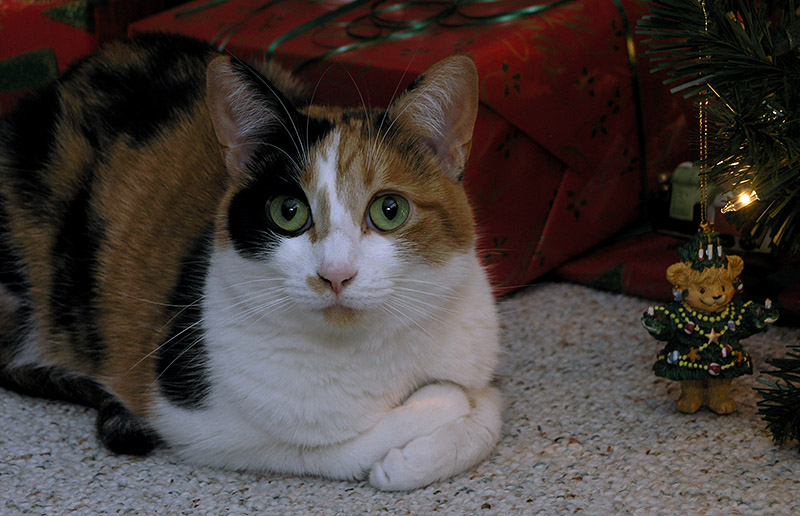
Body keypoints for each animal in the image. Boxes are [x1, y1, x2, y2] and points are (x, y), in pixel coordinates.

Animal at [0, 33, 500, 492]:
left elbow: (490, 410)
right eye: (288, 211)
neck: (366, 352)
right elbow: (325, 446)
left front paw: (427, 446)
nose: (335, 275)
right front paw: (428, 416)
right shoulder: (198, 423)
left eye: (389, 209)